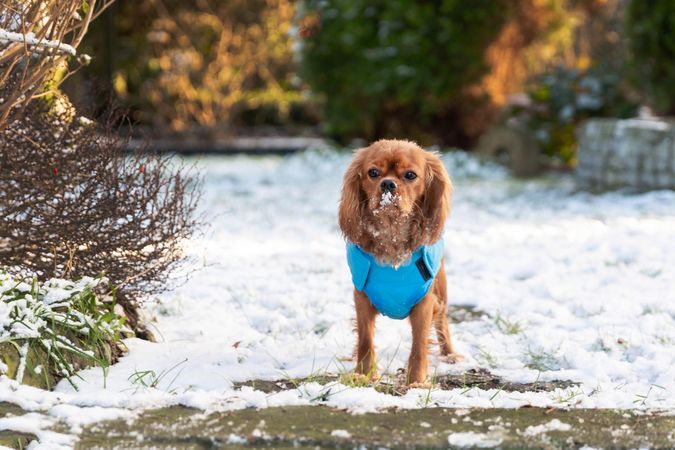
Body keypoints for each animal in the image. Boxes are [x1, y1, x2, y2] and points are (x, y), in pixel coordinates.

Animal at [340, 139, 462, 384]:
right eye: (373, 173)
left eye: (410, 175)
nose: (388, 184)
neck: (391, 232)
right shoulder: (362, 298)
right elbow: (365, 340)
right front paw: (363, 374)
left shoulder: (425, 302)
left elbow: (419, 345)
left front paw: (415, 381)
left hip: (441, 291)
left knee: (442, 322)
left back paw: (449, 355)